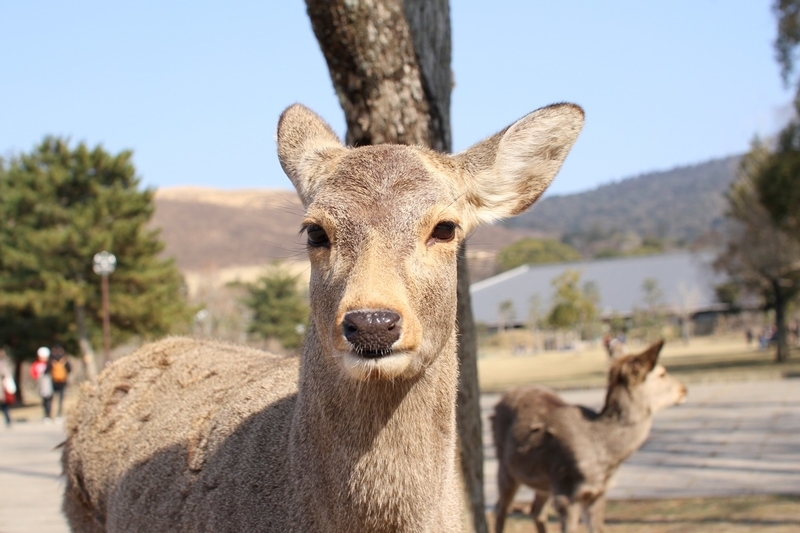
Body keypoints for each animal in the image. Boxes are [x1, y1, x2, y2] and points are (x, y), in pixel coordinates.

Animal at [494, 340, 688, 532]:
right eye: (662, 373)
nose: (684, 389)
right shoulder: (566, 491)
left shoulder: (597, 492)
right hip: (505, 467)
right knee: (500, 508)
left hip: (544, 482)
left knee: (536, 511)